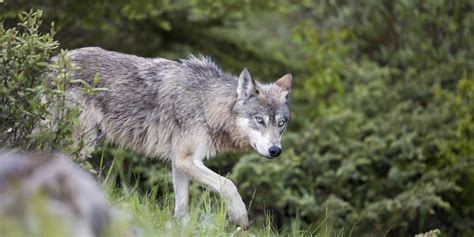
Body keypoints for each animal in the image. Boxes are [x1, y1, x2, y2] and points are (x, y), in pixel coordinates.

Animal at [63, 46, 292, 230]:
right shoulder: (186, 159)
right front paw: (240, 217)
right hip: (82, 142)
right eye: (260, 120)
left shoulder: (179, 161)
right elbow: (228, 184)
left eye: (281, 123)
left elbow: (182, 206)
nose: (275, 150)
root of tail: (59, 59)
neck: (207, 104)